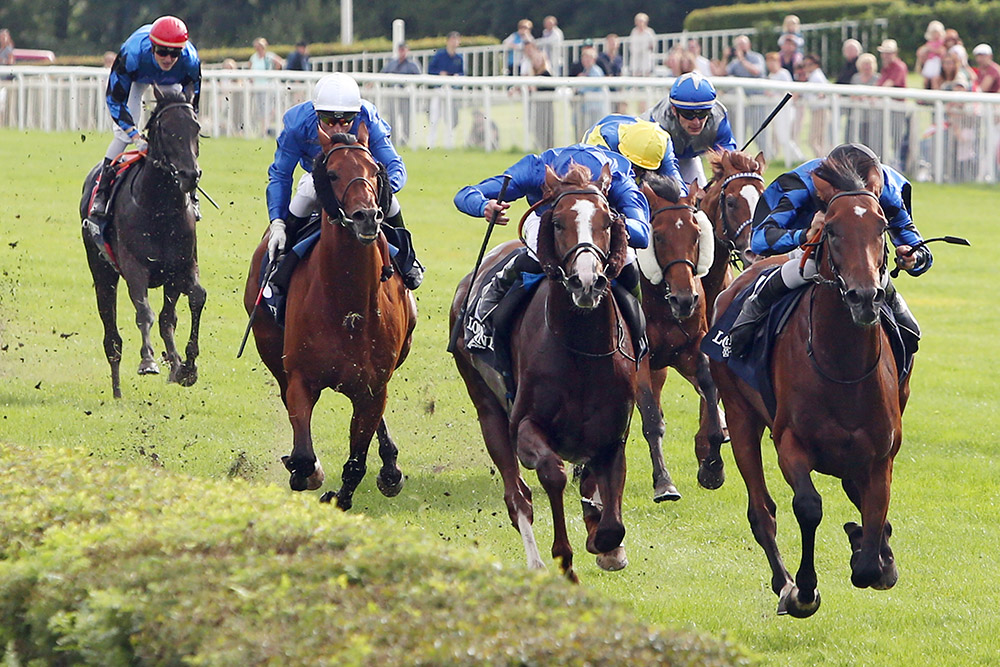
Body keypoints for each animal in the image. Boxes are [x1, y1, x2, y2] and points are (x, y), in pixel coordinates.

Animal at [80, 87, 205, 402]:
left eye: (196, 127)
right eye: (165, 129)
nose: (190, 175)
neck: (161, 210)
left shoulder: (181, 267)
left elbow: (193, 300)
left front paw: (186, 366)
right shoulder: (134, 266)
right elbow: (144, 312)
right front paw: (148, 360)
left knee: (167, 318)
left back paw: (174, 363)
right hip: (102, 272)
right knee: (111, 336)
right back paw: (117, 391)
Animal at [246, 125, 418, 508]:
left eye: (375, 170)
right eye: (334, 173)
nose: (367, 216)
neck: (347, 308)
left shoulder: (373, 387)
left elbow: (356, 463)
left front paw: (342, 493)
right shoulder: (299, 378)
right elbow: (303, 454)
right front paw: (306, 472)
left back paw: (391, 469)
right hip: (272, 353)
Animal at [452, 162, 636, 580]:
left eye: (607, 221)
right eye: (557, 222)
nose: (587, 281)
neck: (582, 353)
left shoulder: (613, 437)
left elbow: (612, 521)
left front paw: (605, 545)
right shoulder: (524, 426)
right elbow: (553, 474)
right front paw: (564, 559)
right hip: (487, 410)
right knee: (516, 496)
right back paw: (536, 562)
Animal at [632, 177, 728, 500]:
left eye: (697, 234)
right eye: (658, 237)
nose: (685, 299)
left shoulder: (692, 349)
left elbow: (710, 393)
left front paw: (712, 467)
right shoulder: (638, 359)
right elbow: (651, 419)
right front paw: (663, 481)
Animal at [712, 154, 908, 620]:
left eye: (882, 226)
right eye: (831, 229)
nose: (864, 297)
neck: (843, 369)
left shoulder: (881, 455)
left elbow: (874, 515)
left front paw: (872, 554)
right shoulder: (791, 443)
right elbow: (808, 506)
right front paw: (803, 590)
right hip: (740, 417)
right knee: (761, 511)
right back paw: (784, 582)